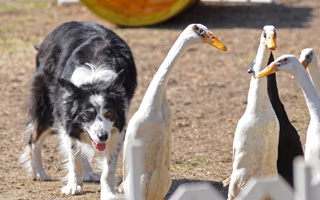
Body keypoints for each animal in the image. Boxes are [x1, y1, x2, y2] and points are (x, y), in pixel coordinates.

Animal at [19, 21, 138, 198]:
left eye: (109, 113)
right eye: (87, 114)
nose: (103, 136)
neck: (94, 81)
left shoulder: (117, 125)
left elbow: (108, 166)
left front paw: (109, 191)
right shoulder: (67, 119)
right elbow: (74, 157)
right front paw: (73, 186)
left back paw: (88, 173)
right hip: (47, 107)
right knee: (34, 137)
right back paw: (39, 172)